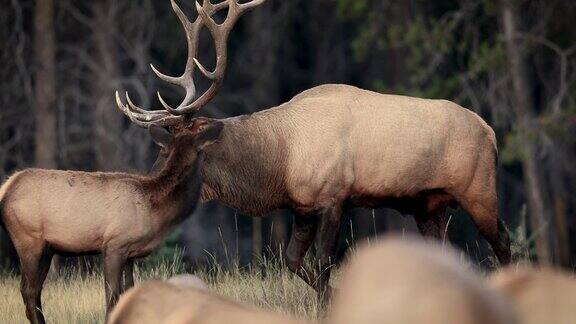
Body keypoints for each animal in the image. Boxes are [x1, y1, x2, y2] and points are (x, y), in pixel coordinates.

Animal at [115, 0, 510, 306]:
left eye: (182, 152)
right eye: (162, 147)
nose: (150, 182)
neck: (279, 161)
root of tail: (490, 131)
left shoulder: (334, 196)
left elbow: (323, 264)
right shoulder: (302, 206)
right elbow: (293, 261)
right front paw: (334, 297)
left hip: (479, 190)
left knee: (503, 240)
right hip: (428, 205)